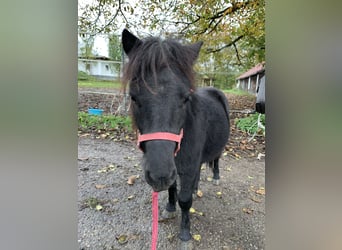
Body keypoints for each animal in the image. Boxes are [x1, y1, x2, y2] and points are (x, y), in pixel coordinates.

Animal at [121, 28, 230, 244]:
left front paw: (185, 234)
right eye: (133, 97)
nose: (159, 175)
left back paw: (215, 177)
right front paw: (170, 207)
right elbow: (172, 188)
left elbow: (185, 200)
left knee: (216, 159)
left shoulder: (185, 167)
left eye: (186, 98)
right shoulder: (175, 165)